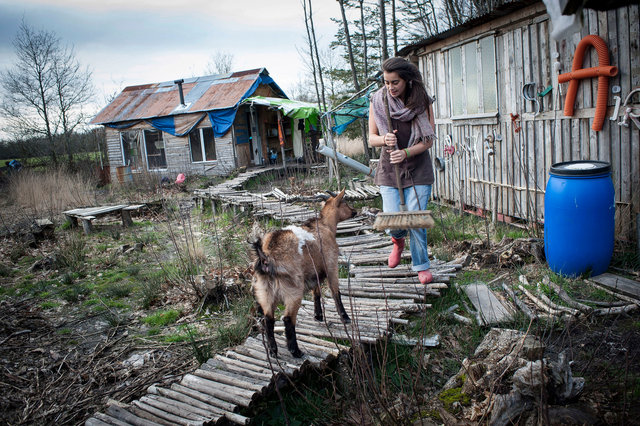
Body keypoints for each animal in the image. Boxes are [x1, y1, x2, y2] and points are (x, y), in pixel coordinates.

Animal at [252, 188, 358, 358]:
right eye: (345, 202)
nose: (355, 211)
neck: (325, 225)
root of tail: (266, 257)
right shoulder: (331, 266)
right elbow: (336, 292)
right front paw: (345, 317)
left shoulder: (314, 273)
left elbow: (316, 293)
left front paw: (318, 316)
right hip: (293, 290)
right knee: (287, 318)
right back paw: (295, 351)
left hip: (264, 290)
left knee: (268, 318)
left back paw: (273, 351)